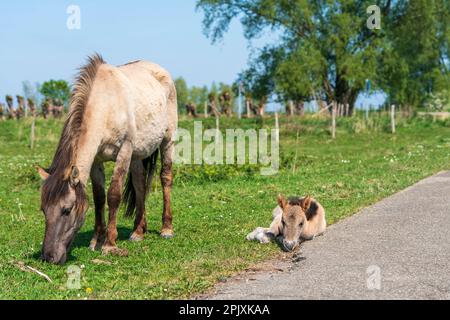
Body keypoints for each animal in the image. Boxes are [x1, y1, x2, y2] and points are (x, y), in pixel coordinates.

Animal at [37, 54, 178, 264]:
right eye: (43, 210)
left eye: (67, 210)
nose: (48, 257)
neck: (106, 105)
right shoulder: (97, 160)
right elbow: (99, 197)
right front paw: (96, 240)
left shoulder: (124, 151)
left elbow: (113, 195)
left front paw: (109, 244)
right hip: (137, 154)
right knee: (139, 183)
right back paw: (138, 231)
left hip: (167, 140)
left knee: (165, 177)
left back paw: (166, 229)